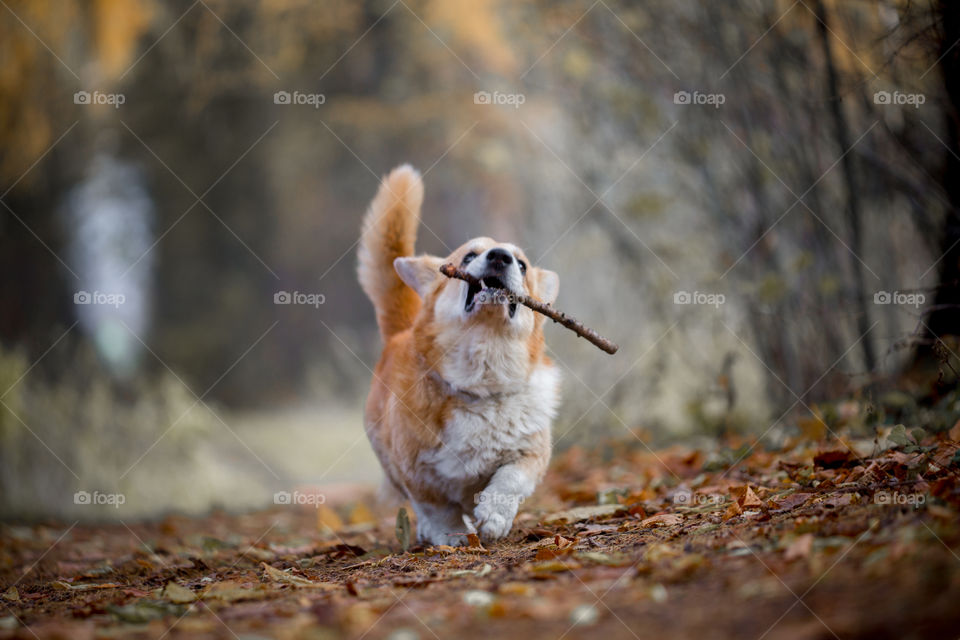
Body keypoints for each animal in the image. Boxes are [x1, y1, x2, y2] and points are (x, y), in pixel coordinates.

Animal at [356, 164, 560, 544]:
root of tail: (399, 333)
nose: (500, 256)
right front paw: (452, 535)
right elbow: (438, 507)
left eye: (522, 265)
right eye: (469, 256)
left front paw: (494, 516)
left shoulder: (531, 453)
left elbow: (510, 479)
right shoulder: (417, 474)